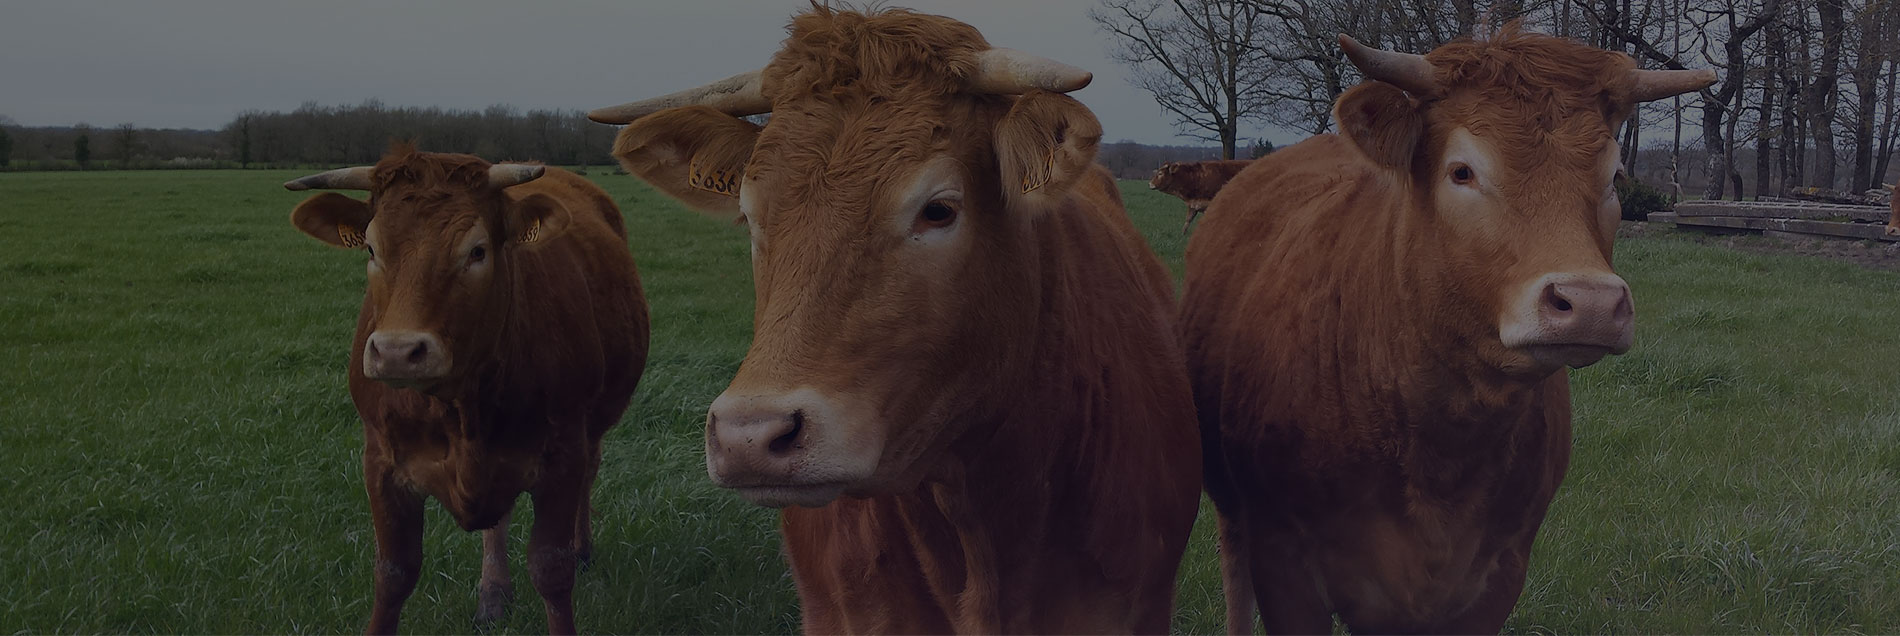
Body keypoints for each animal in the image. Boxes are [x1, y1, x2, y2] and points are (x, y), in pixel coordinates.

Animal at [281, 147, 649, 634]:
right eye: (371, 248)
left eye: (477, 251)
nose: (397, 352)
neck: (459, 408)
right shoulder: (380, 461)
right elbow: (393, 573)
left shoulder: (563, 453)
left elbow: (552, 569)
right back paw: (493, 593)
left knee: (589, 475)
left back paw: (582, 547)